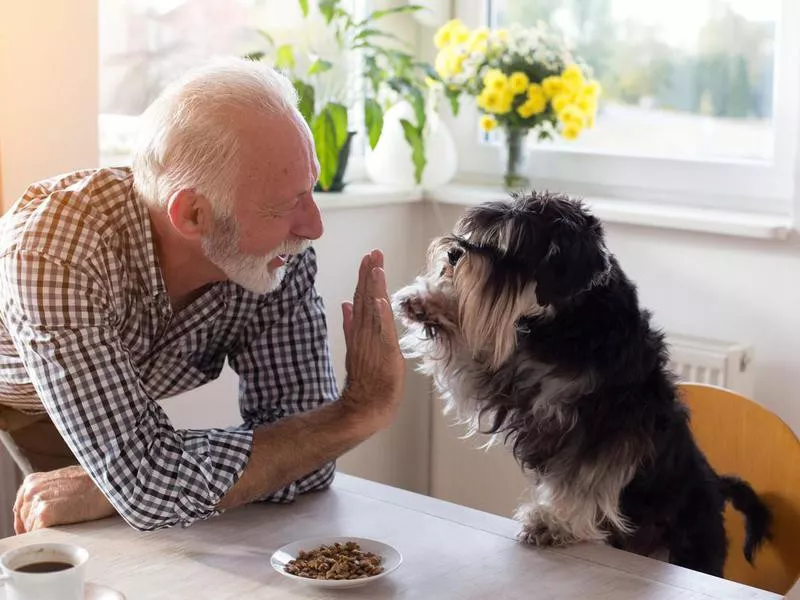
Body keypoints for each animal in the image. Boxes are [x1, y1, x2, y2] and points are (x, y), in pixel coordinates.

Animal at [390, 190, 772, 576]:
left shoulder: (605, 430)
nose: (454, 253)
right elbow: (471, 353)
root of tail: (716, 485)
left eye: (512, 246)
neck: (570, 322)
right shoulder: (508, 382)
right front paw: (427, 302)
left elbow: (582, 480)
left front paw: (552, 523)